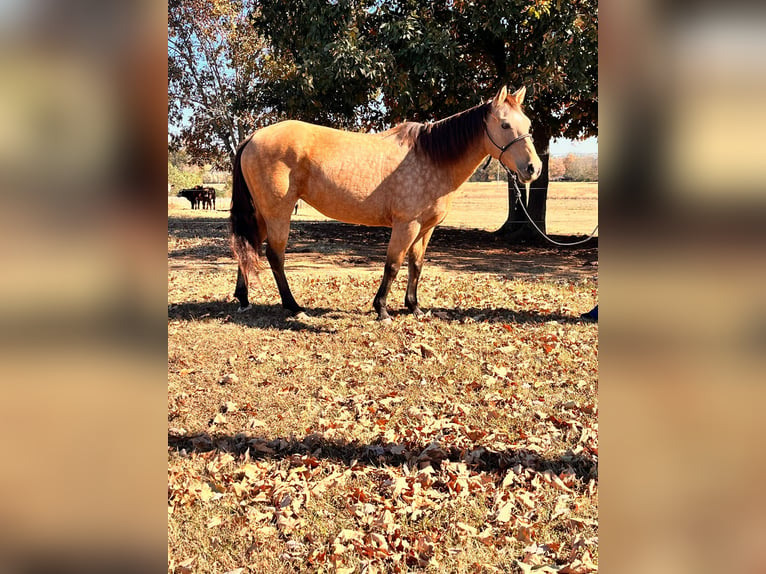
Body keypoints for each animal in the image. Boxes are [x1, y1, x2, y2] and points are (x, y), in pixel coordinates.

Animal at [231, 85, 544, 322]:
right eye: (504, 124)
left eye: (528, 125)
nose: (534, 168)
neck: (431, 157)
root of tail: (253, 137)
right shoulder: (406, 225)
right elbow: (393, 265)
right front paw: (381, 310)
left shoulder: (426, 228)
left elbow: (416, 265)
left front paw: (414, 307)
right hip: (278, 213)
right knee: (274, 256)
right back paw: (294, 307)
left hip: (261, 214)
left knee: (248, 248)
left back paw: (244, 299)